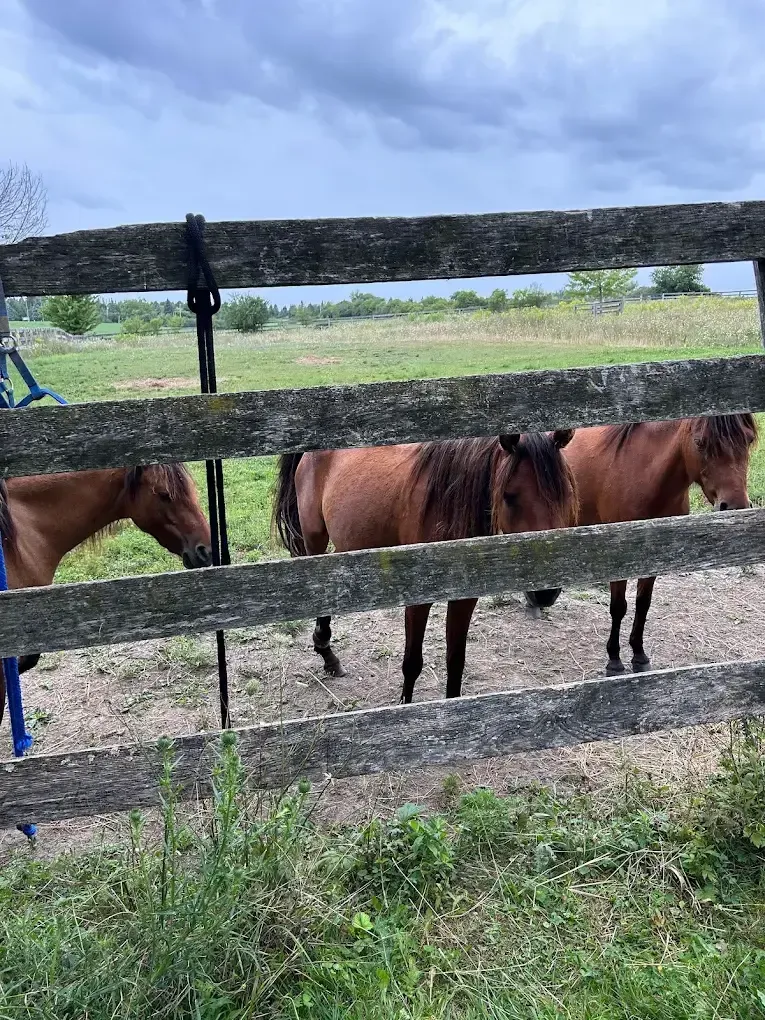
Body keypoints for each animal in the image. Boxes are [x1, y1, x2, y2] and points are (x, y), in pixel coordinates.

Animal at [274, 431, 578, 704]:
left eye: (565, 494)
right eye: (509, 495)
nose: (546, 591)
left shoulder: (465, 597)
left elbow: (456, 661)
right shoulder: (416, 599)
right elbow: (412, 663)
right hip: (314, 538)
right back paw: (327, 654)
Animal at [525, 413, 757, 675]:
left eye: (749, 440)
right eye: (700, 443)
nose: (736, 507)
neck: (646, 480)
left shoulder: (654, 557)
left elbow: (643, 604)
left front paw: (639, 655)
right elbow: (618, 607)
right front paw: (614, 661)